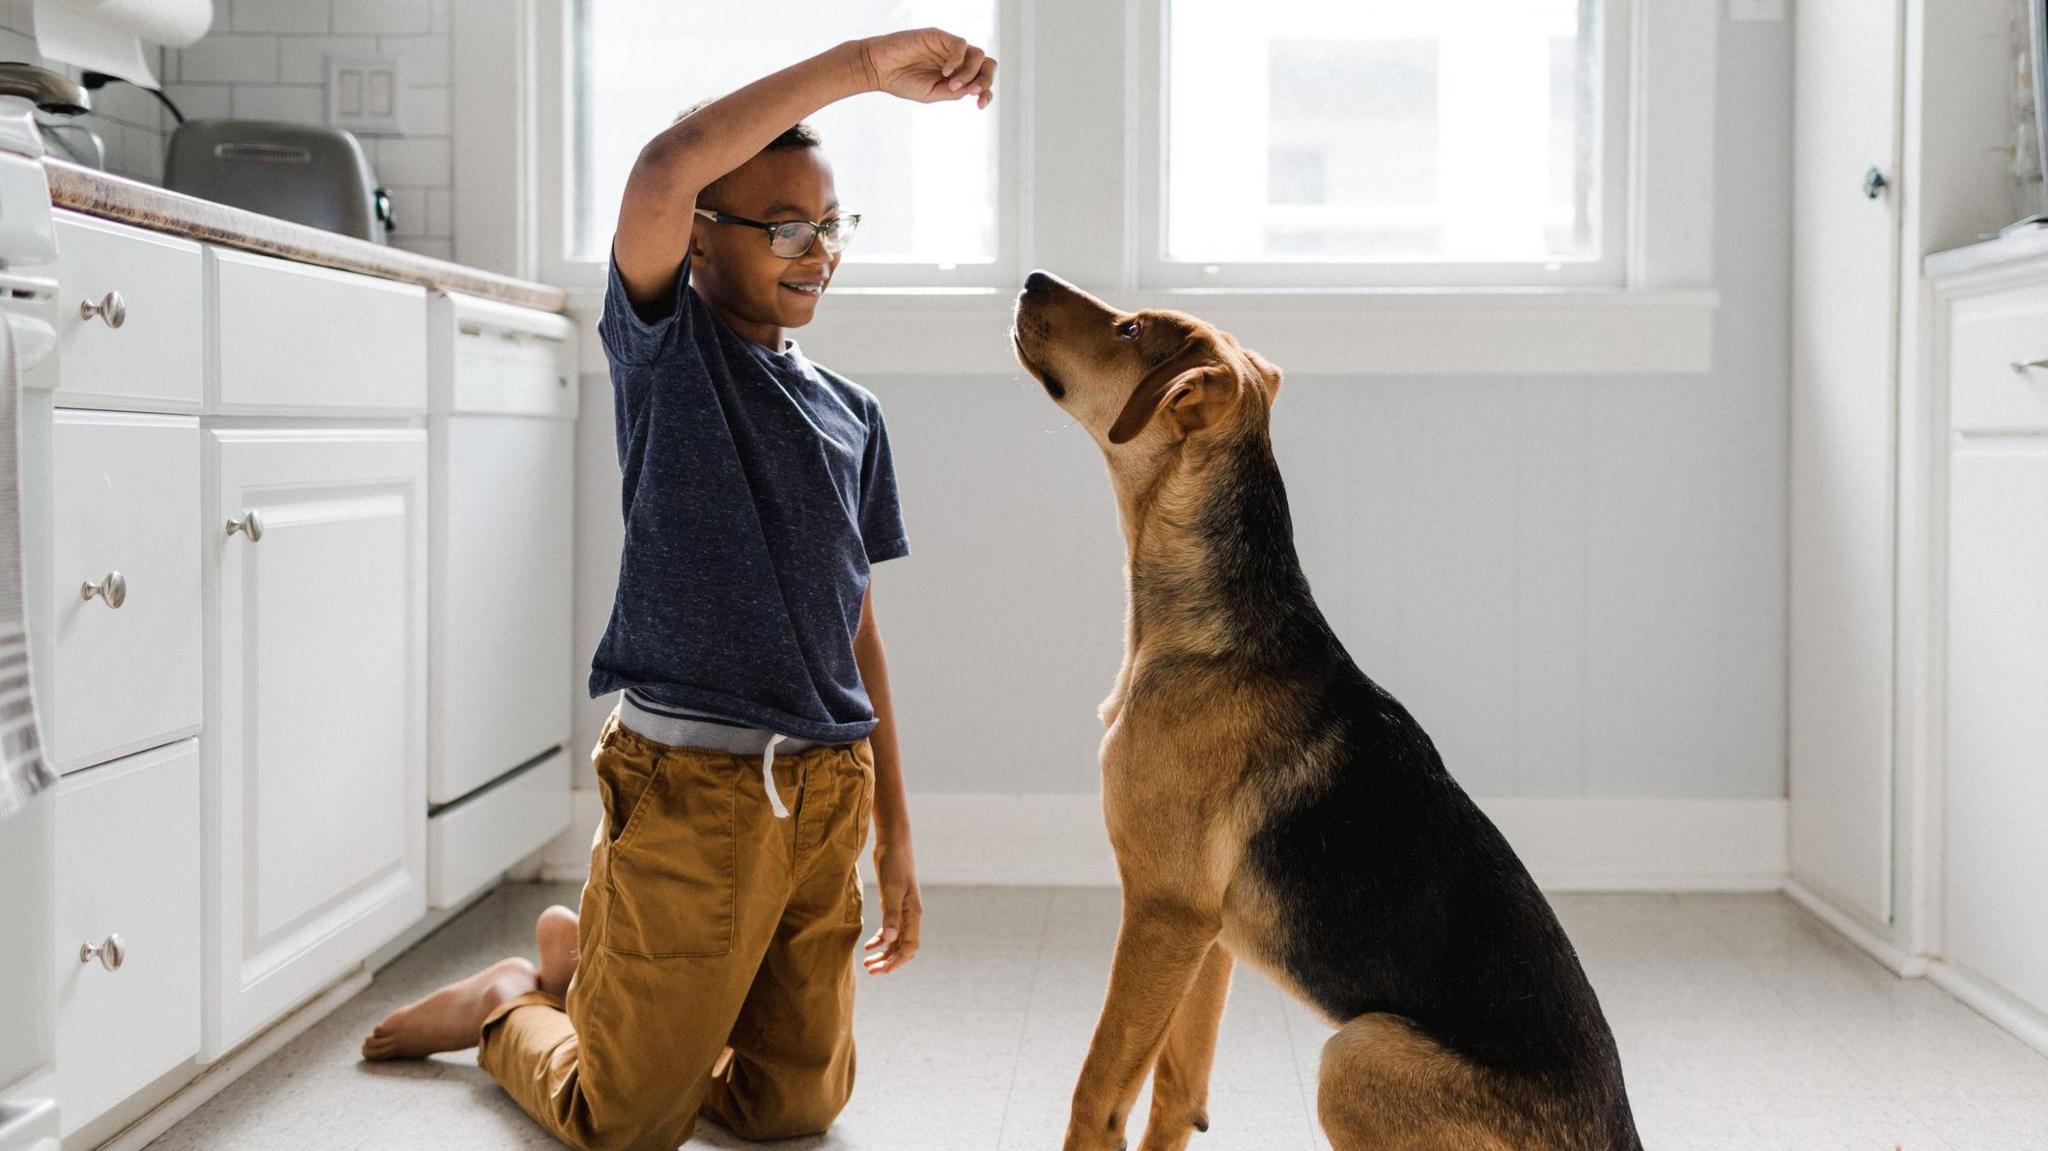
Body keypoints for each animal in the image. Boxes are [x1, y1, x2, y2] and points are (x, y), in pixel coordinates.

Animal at [1011, 270, 1646, 1146]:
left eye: (1132, 328)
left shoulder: (1162, 911)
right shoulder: (1207, 935)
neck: (1217, 626)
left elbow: (1097, 1090)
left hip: (1356, 1050)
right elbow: (1177, 1087)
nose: (1031, 279)